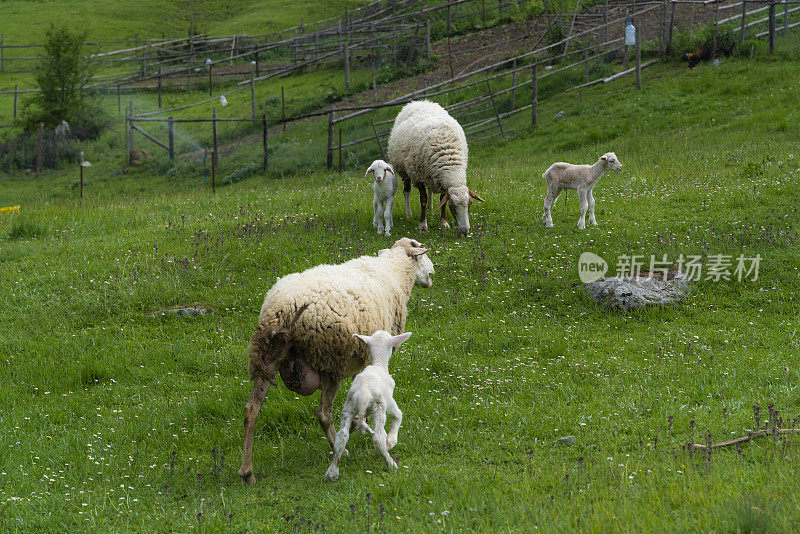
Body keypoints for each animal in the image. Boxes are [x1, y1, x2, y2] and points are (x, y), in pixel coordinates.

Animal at [324, 330, 412, 482]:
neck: (378, 364)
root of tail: (363, 395)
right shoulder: (389, 398)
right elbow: (397, 415)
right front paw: (391, 440)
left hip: (349, 407)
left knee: (342, 437)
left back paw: (332, 472)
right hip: (379, 407)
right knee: (378, 437)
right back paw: (391, 463)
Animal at [386, 100, 484, 237]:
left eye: (470, 203)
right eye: (452, 206)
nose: (465, 231)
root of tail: (419, 101)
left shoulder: (440, 182)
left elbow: (442, 200)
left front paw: (444, 223)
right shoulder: (418, 178)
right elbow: (423, 199)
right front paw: (422, 225)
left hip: (429, 174)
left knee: (430, 190)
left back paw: (430, 208)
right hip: (405, 170)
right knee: (407, 191)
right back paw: (409, 213)